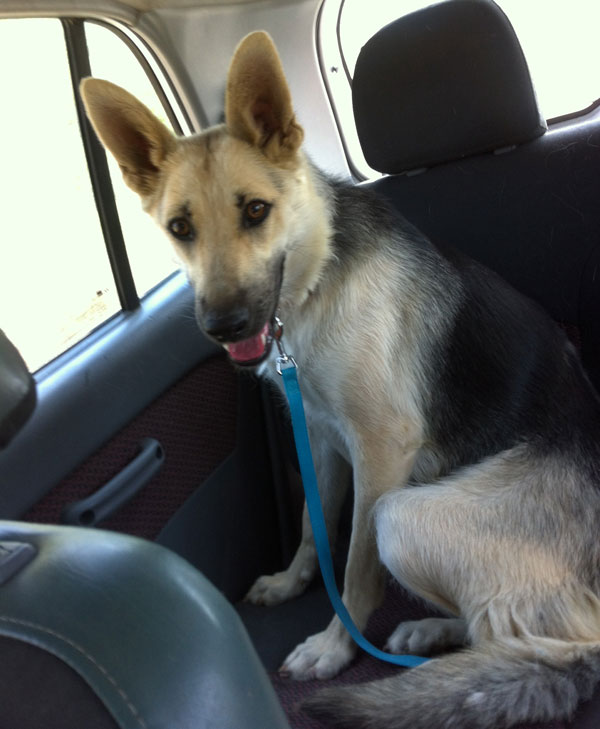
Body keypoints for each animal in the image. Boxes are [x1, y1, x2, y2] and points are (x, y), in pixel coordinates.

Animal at [82, 29, 600, 728]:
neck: (318, 274)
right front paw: (290, 581)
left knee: (550, 634)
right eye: (180, 229)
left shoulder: (381, 450)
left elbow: (354, 566)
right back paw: (431, 634)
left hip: (406, 516)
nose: (223, 325)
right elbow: (312, 526)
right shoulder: (322, 436)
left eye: (256, 211)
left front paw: (334, 646)